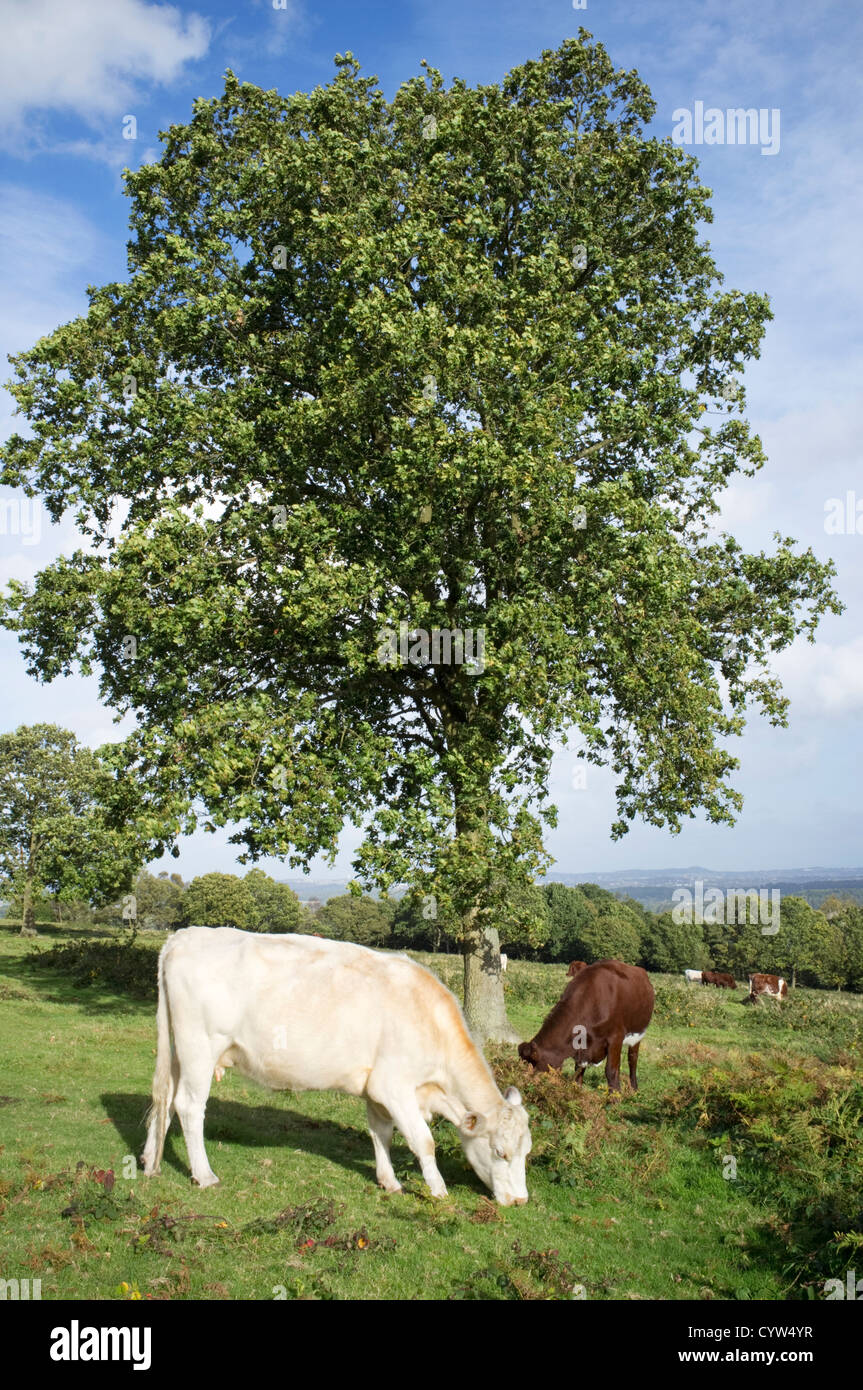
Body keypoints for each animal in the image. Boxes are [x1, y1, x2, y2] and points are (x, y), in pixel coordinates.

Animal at [139, 934, 530, 1206]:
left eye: (526, 1152)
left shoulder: (376, 1091)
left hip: (180, 1053)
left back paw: (149, 1162)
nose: (520, 1201)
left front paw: (389, 1181)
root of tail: (184, 936)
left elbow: (381, 1134)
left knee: (165, 1099)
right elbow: (424, 1141)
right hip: (200, 1048)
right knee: (189, 1106)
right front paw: (437, 1189)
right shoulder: (394, 1086)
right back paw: (204, 1175)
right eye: (500, 1152)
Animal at [514, 961, 650, 1089]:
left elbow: (611, 1071)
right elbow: (578, 1071)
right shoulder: (582, 1047)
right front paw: (577, 1090)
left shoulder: (616, 1038)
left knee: (632, 1059)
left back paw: (634, 1088)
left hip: (637, 1034)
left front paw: (615, 1096)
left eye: (534, 1070)